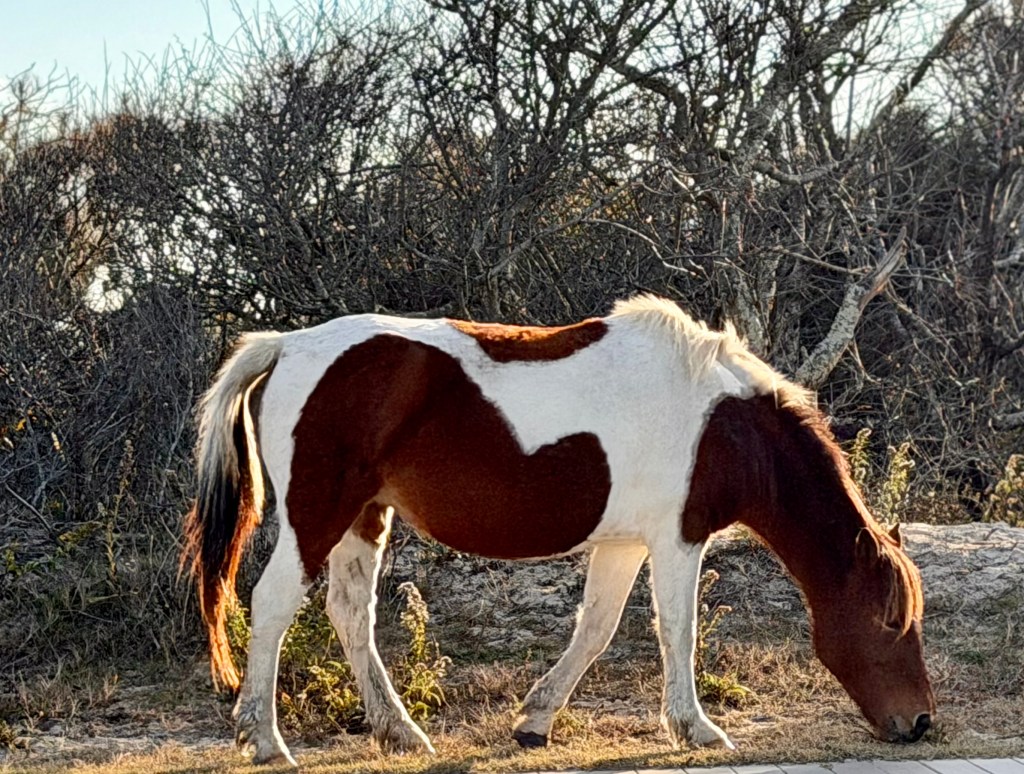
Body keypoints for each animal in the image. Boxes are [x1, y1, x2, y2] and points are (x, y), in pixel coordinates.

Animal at [182, 295, 934, 766]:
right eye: (893, 622)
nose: (921, 723)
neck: (725, 423)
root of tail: (286, 346)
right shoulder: (677, 539)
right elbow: (677, 632)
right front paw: (696, 728)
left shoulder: (624, 543)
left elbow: (595, 629)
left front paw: (534, 720)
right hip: (317, 517)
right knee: (273, 606)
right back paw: (266, 741)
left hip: (364, 517)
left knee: (349, 613)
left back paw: (400, 734)